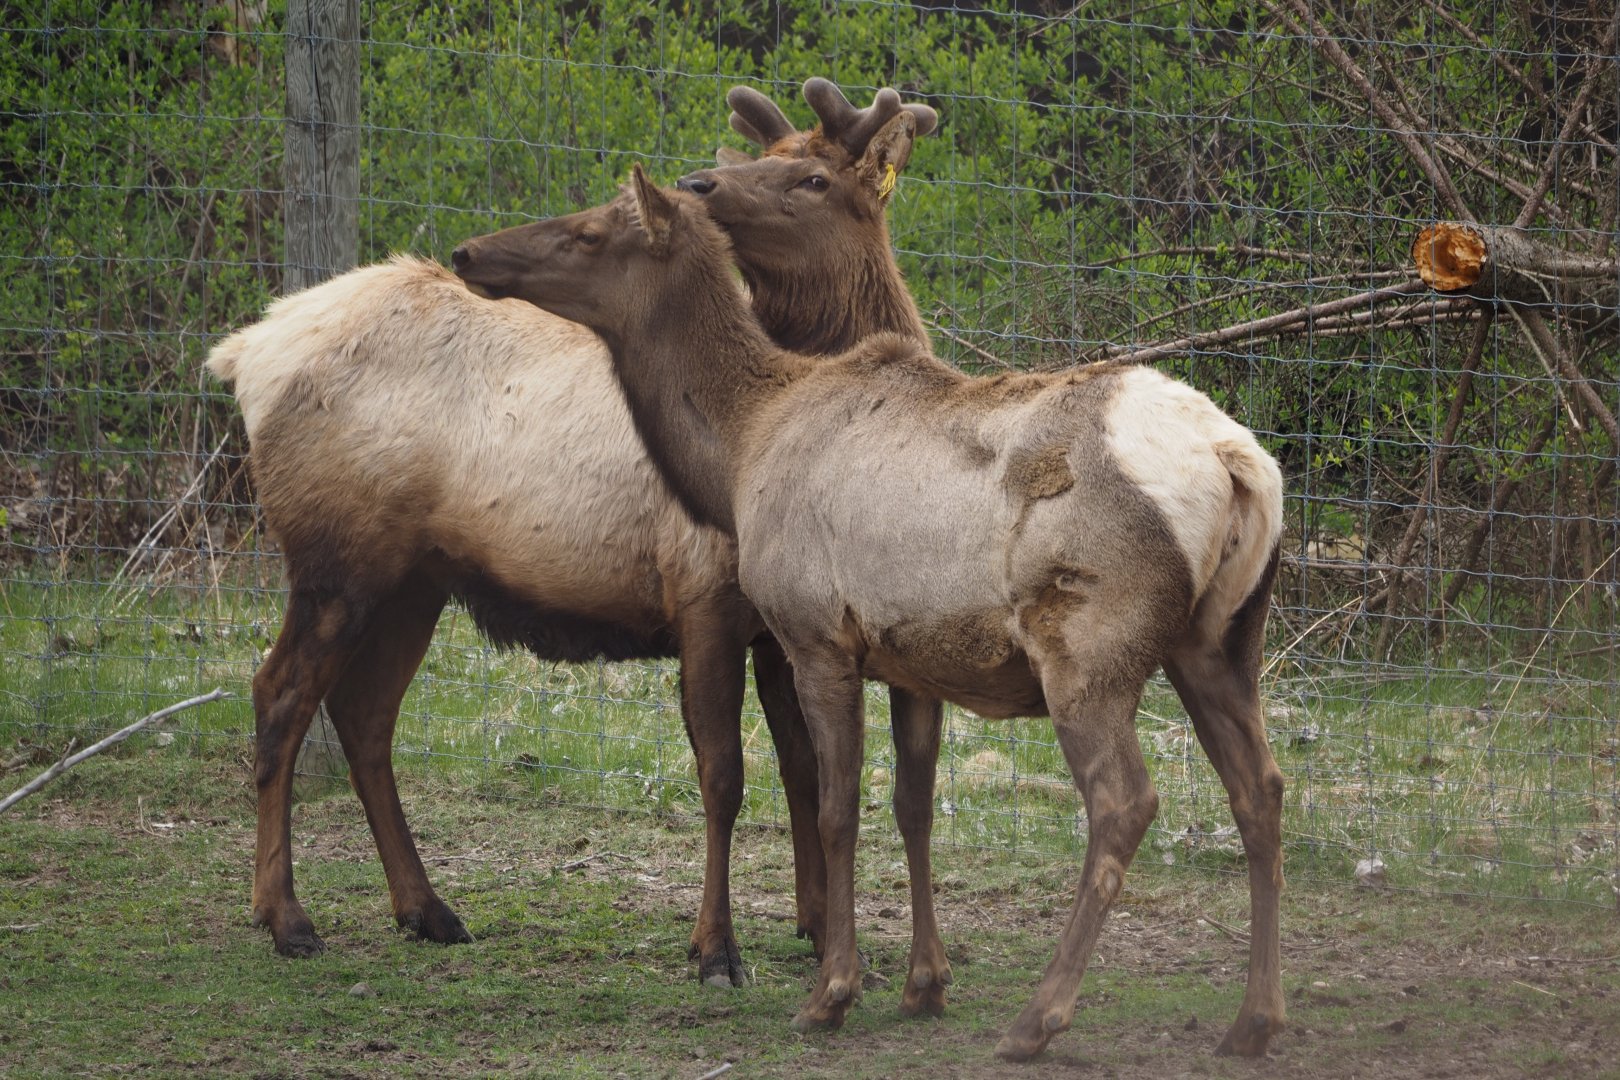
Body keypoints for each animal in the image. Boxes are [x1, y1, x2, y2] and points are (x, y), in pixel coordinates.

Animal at [205, 80, 938, 992]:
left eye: (813, 178)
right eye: (763, 160)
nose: (699, 182)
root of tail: (243, 354)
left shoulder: (783, 625)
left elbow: (803, 770)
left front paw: (814, 926)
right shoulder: (704, 595)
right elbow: (724, 775)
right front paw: (715, 948)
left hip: (415, 581)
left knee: (365, 713)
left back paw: (426, 908)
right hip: (336, 561)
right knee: (279, 694)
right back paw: (286, 917)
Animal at [449, 160, 1288, 1060]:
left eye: (589, 233)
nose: (468, 251)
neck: (737, 454)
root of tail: (1241, 465)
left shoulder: (817, 636)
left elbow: (834, 808)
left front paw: (832, 991)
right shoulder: (915, 662)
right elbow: (913, 810)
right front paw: (925, 983)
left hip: (1089, 648)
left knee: (1124, 803)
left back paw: (1038, 1018)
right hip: (1220, 643)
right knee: (1261, 789)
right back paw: (1254, 1019)